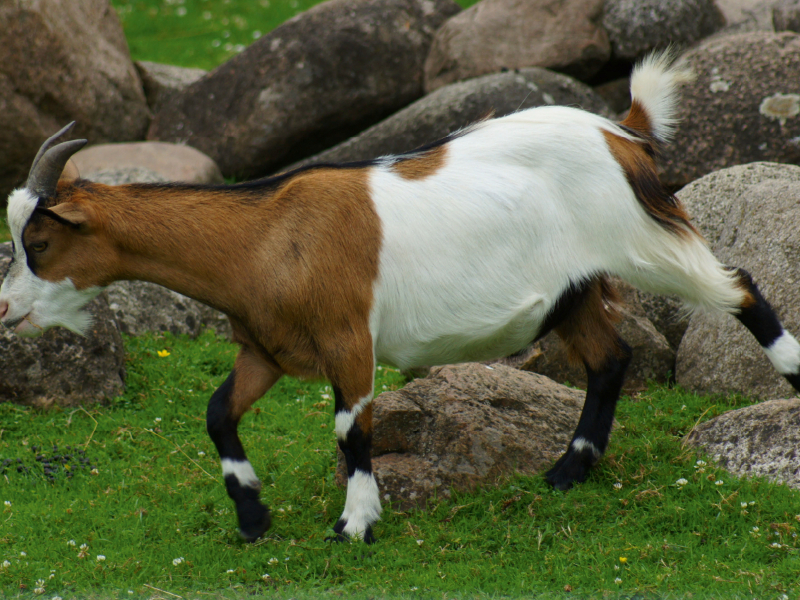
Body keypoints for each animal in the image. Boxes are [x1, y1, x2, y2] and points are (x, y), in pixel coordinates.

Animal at [1, 52, 800, 544]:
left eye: (36, 241)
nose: (6, 312)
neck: (267, 235)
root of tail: (622, 132)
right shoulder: (267, 350)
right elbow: (217, 414)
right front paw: (254, 516)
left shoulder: (349, 339)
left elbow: (351, 430)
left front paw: (355, 524)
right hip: (571, 292)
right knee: (610, 360)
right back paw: (567, 473)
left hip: (644, 242)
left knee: (740, 289)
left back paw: (790, 380)